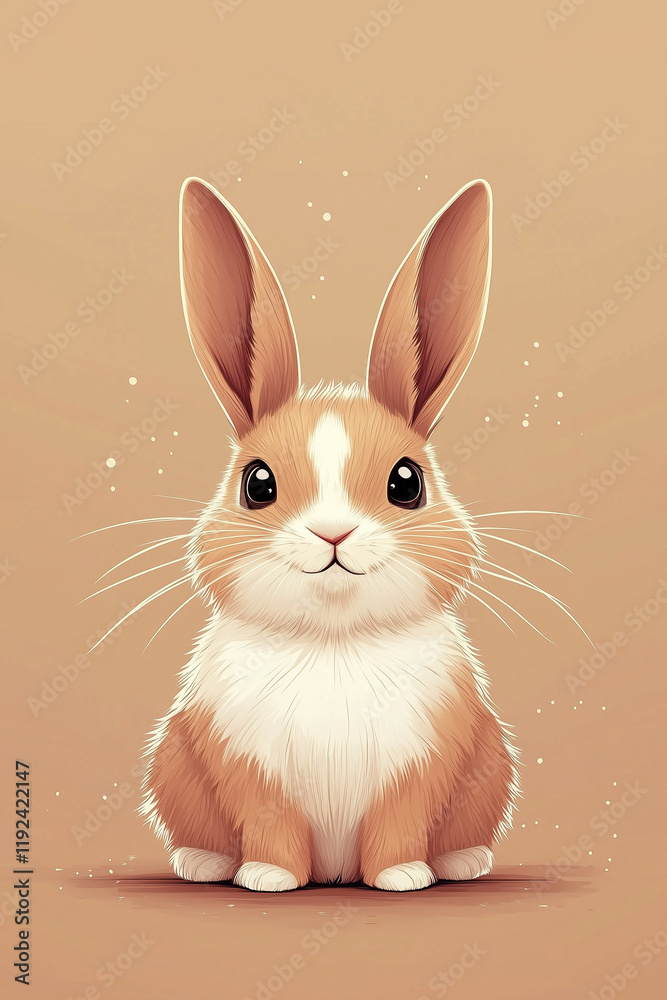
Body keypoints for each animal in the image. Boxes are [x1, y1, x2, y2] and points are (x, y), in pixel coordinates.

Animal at [139, 176, 519, 892]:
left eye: (406, 482)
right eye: (257, 483)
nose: (333, 533)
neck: (333, 641)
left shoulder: (421, 770)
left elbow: (398, 830)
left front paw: (402, 878)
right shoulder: (249, 772)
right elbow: (273, 831)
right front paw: (267, 878)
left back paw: (462, 863)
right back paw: (203, 864)